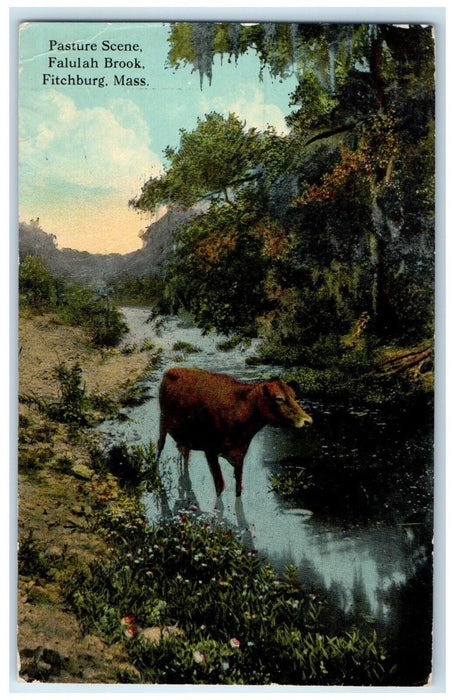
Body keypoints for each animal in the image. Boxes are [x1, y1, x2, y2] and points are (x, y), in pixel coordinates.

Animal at [158, 366, 314, 498]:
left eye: (294, 396)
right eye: (279, 398)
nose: (308, 421)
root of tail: (173, 369)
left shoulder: (240, 456)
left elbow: (238, 488)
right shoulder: (210, 452)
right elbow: (220, 486)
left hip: (185, 437)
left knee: (184, 453)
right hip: (163, 422)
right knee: (160, 445)